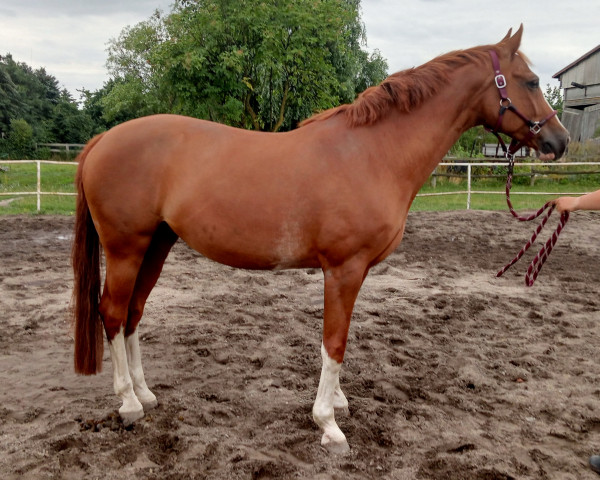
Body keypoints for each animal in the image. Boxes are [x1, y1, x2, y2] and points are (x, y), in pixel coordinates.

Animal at [71, 26, 568, 454]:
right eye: (530, 80)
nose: (559, 141)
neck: (374, 153)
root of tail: (101, 140)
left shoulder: (353, 272)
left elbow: (336, 338)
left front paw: (338, 402)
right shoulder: (343, 268)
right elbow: (335, 342)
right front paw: (328, 423)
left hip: (156, 244)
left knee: (133, 314)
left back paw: (145, 393)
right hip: (126, 248)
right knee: (112, 313)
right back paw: (129, 404)